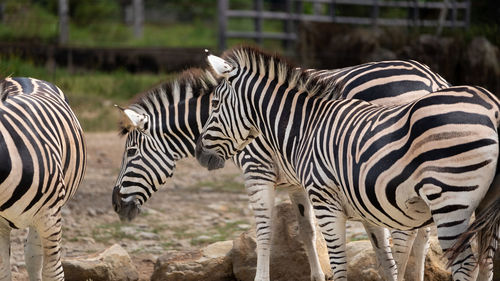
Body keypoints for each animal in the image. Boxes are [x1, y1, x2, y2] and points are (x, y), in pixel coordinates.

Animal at [112, 56, 450, 280]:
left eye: (131, 152)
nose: (115, 204)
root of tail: (433, 78)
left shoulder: (257, 171)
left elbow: (265, 232)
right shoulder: (297, 182)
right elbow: (307, 232)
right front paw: (317, 275)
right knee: (423, 234)